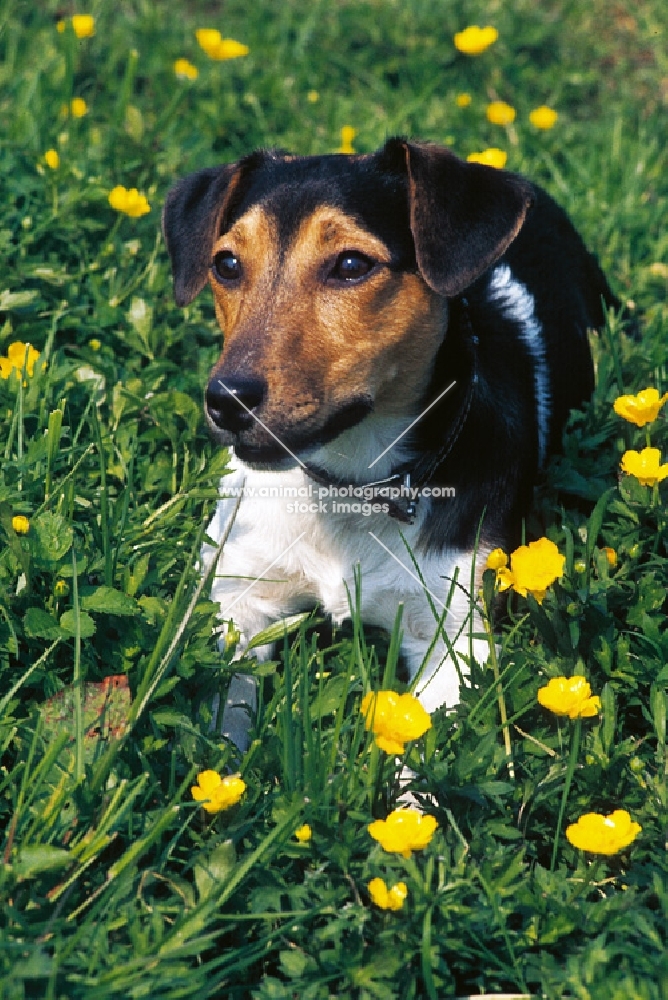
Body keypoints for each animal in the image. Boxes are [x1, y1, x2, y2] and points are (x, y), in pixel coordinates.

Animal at [162, 141, 616, 752]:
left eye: (352, 264)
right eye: (227, 265)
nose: (227, 400)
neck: (348, 485)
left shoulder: (455, 638)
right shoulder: (238, 600)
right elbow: (220, 718)